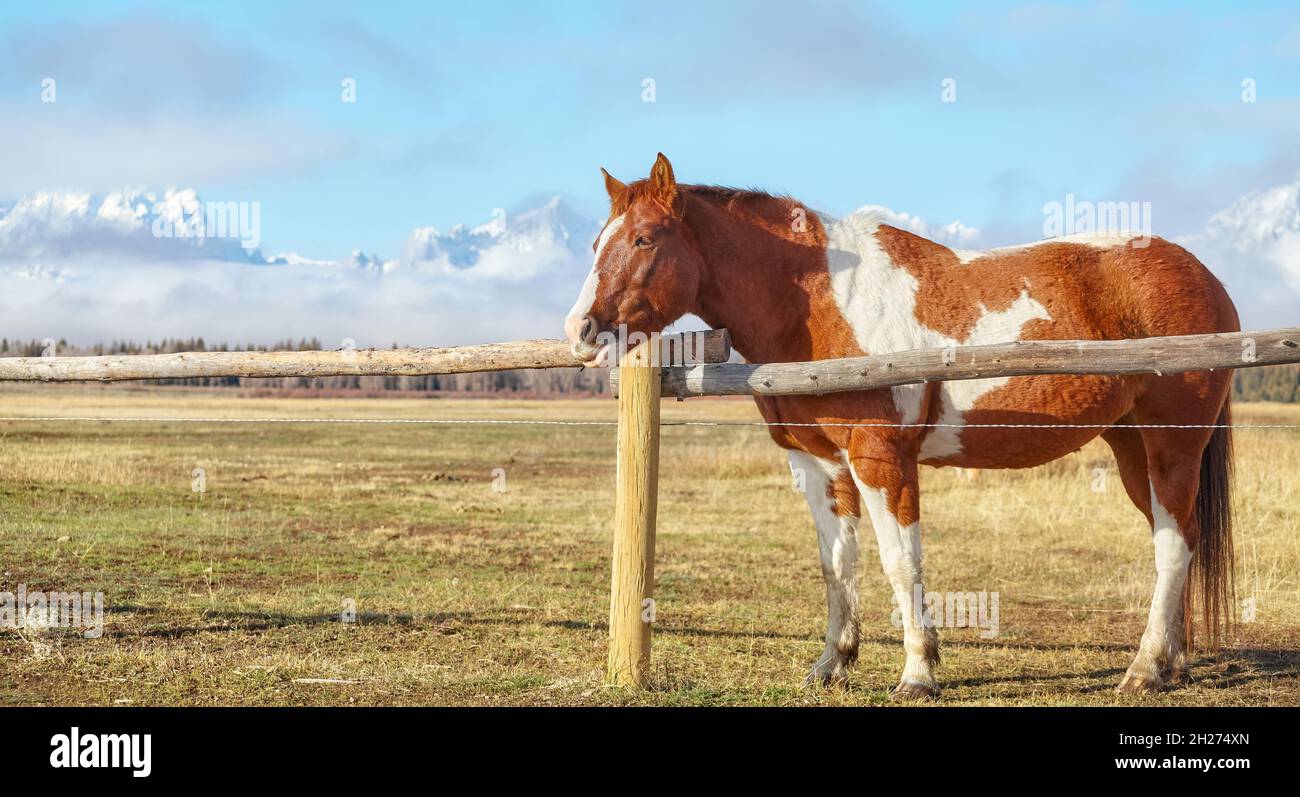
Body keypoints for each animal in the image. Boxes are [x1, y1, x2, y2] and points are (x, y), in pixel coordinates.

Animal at [564, 154, 1232, 696]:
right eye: (598, 241)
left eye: (644, 238)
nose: (580, 331)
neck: (818, 305)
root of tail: (1206, 277)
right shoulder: (818, 462)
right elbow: (837, 563)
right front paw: (832, 664)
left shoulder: (881, 459)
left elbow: (899, 561)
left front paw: (918, 673)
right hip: (1132, 449)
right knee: (1179, 540)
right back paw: (1172, 665)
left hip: (1171, 447)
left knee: (1173, 546)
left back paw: (1144, 669)